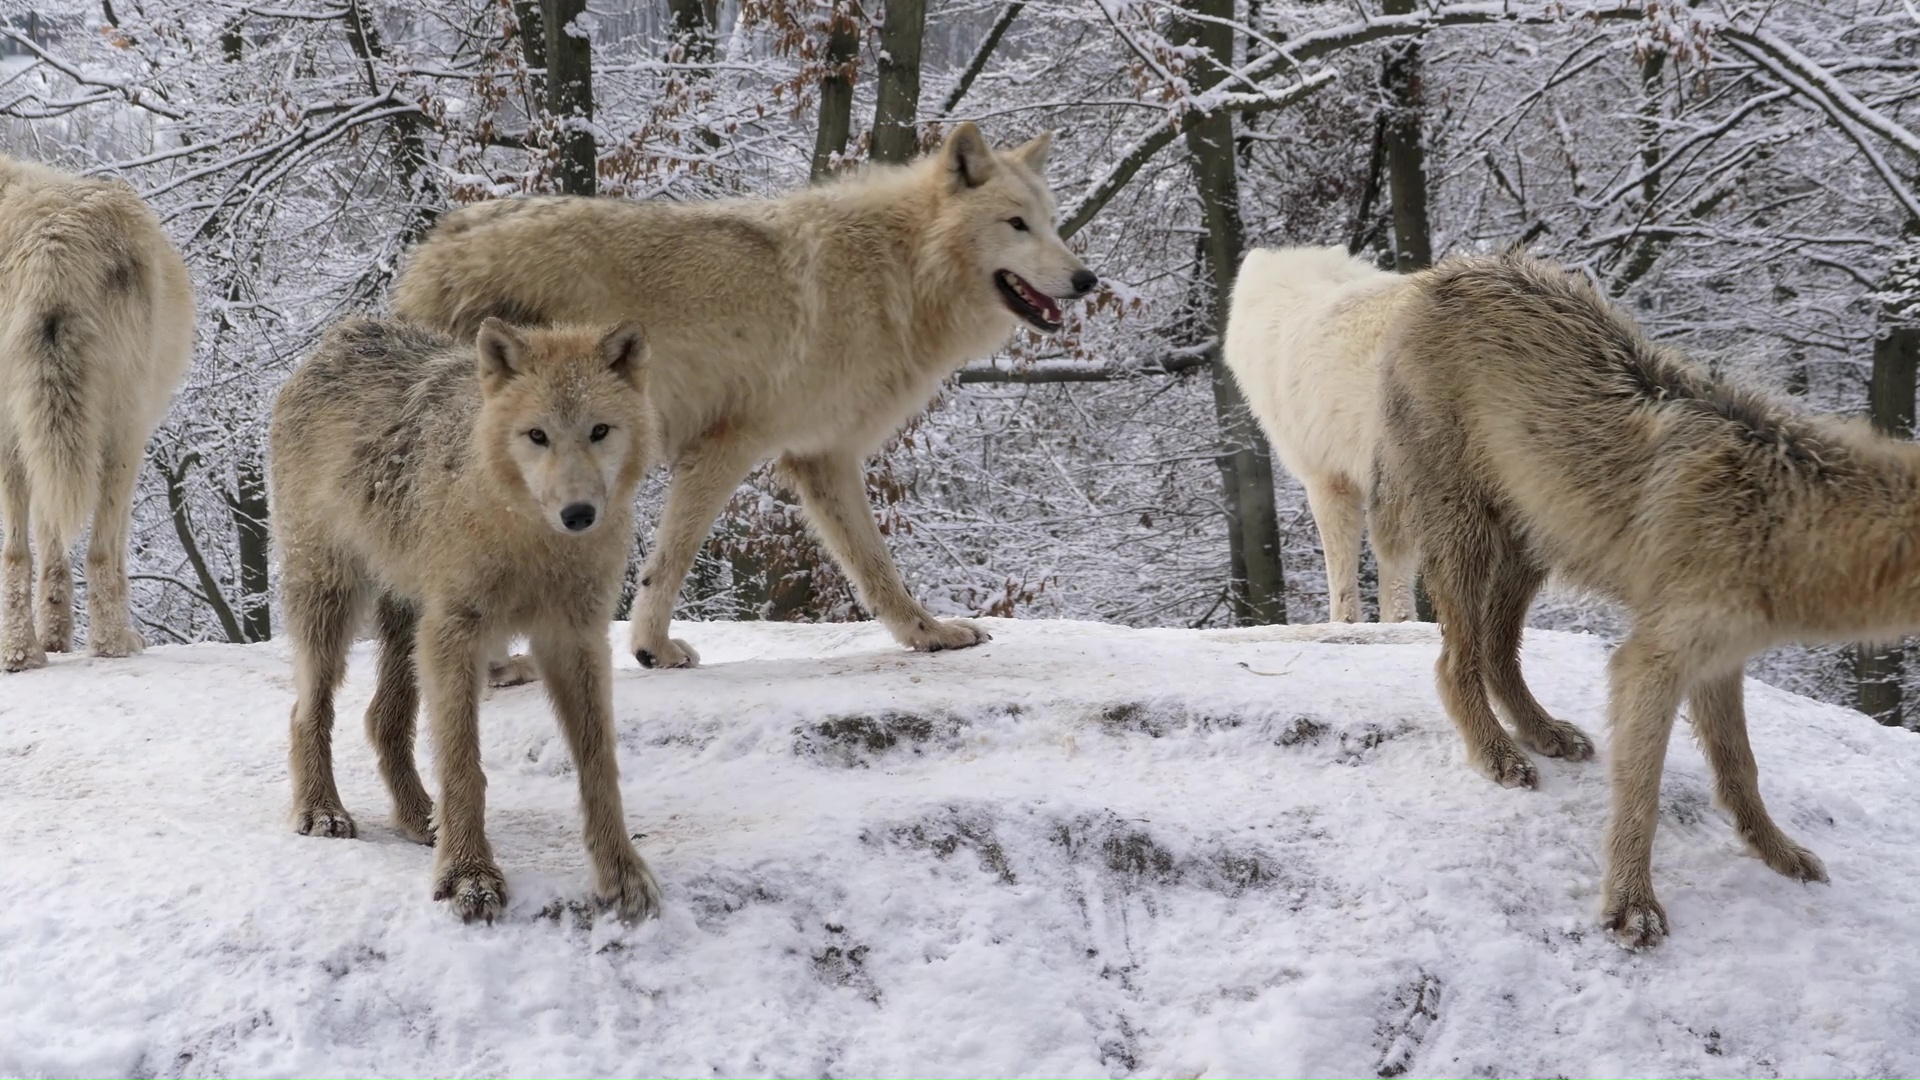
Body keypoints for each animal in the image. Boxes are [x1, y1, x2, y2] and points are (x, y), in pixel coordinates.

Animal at [0, 155, 194, 671]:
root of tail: (51, 247)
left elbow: (49, 545)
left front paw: (54, 639)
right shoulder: (138, 434)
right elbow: (109, 548)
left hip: (20, 435)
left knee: (14, 553)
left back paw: (21, 654)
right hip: (119, 434)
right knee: (102, 550)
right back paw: (113, 644)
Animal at [271, 317, 661, 924]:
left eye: (600, 430)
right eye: (537, 436)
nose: (578, 514)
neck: (531, 540)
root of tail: (342, 335)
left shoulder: (575, 640)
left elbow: (600, 766)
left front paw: (622, 875)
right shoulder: (455, 634)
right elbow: (463, 767)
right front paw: (468, 877)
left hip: (408, 624)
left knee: (381, 718)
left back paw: (418, 816)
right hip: (334, 607)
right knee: (306, 711)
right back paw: (321, 810)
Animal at [393, 122, 1096, 674]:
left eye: (1053, 224)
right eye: (1016, 224)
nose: (1087, 278)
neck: (896, 270)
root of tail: (437, 246)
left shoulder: (823, 456)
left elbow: (875, 567)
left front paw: (928, 634)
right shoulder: (728, 445)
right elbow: (671, 558)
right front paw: (652, 649)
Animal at [1372, 252, 1879, 946]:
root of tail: (1439, 275)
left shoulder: (1719, 658)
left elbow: (1740, 766)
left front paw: (1777, 853)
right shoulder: (1659, 657)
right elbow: (1645, 788)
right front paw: (1634, 907)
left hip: (1536, 541)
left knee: (1500, 654)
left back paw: (1544, 732)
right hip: (1471, 537)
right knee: (1456, 663)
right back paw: (1500, 754)